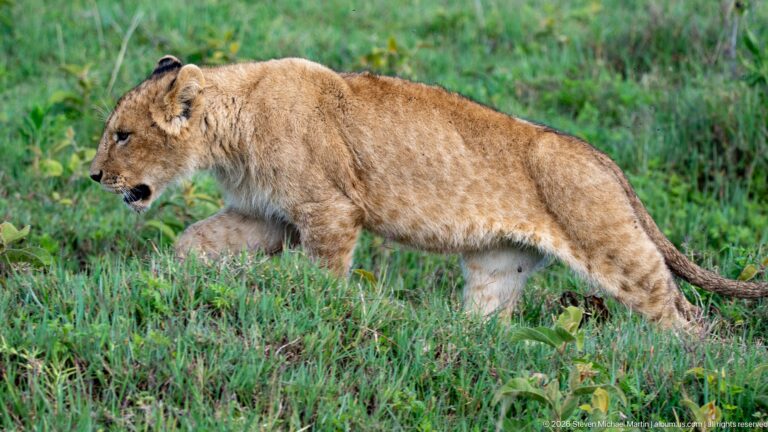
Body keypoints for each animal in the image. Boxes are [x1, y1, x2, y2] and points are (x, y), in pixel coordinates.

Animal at [90, 55, 768, 332]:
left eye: (122, 135)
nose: (94, 175)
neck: (230, 129)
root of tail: (602, 157)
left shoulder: (330, 210)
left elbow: (322, 278)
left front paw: (319, 312)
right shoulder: (267, 215)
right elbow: (196, 241)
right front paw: (169, 278)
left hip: (613, 246)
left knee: (685, 316)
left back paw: (697, 367)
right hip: (499, 266)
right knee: (488, 319)